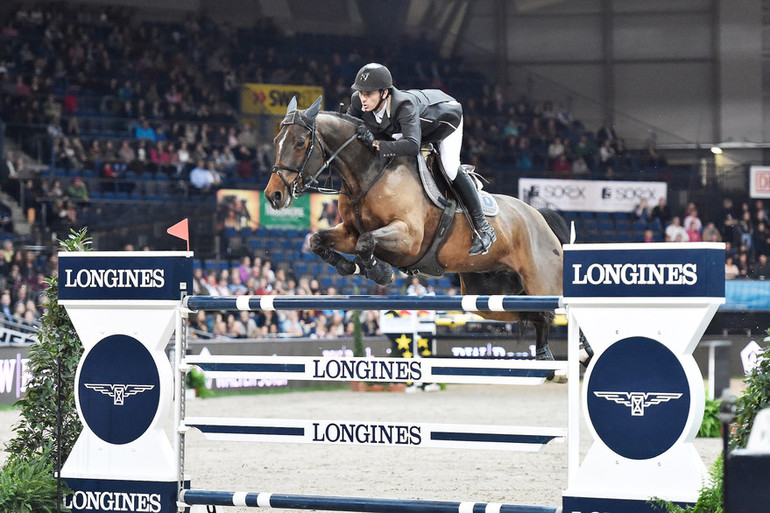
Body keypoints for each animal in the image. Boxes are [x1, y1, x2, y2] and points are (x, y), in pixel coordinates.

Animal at [260, 98, 580, 374]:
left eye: (300, 143)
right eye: (276, 142)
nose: (274, 195)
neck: (370, 173)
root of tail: (539, 217)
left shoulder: (409, 238)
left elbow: (367, 242)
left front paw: (379, 271)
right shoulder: (349, 231)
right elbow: (319, 240)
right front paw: (349, 266)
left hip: (541, 283)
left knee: (555, 311)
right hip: (487, 297)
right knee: (533, 314)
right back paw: (548, 356)